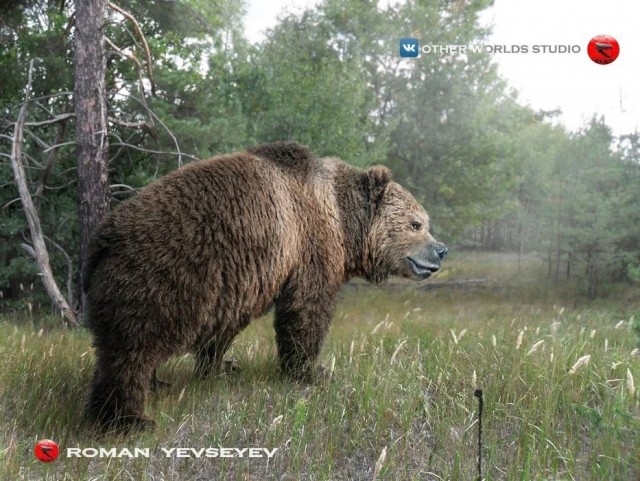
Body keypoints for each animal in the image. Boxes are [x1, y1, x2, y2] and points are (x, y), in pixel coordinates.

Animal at [83, 141, 447, 430]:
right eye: (416, 223)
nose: (441, 250)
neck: (344, 221)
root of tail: (104, 237)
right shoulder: (308, 244)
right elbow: (306, 309)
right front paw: (311, 371)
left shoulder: (236, 282)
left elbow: (224, 330)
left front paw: (221, 366)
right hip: (163, 276)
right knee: (133, 349)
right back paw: (127, 419)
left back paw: (157, 384)